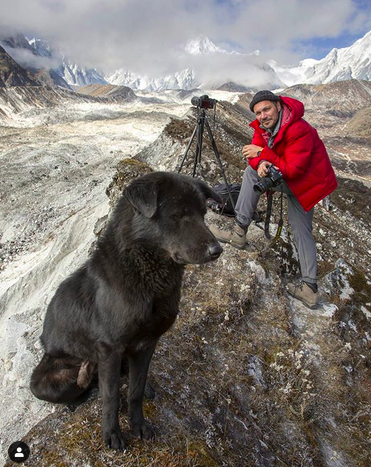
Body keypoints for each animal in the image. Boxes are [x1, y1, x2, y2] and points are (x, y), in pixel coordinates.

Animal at [30, 172, 222, 450]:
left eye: (203, 214)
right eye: (178, 215)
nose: (217, 251)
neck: (147, 277)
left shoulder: (147, 343)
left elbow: (135, 391)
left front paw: (138, 424)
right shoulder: (111, 349)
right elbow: (111, 398)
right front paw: (112, 433)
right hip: (47, 381)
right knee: (84, 387)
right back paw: (82, 387)